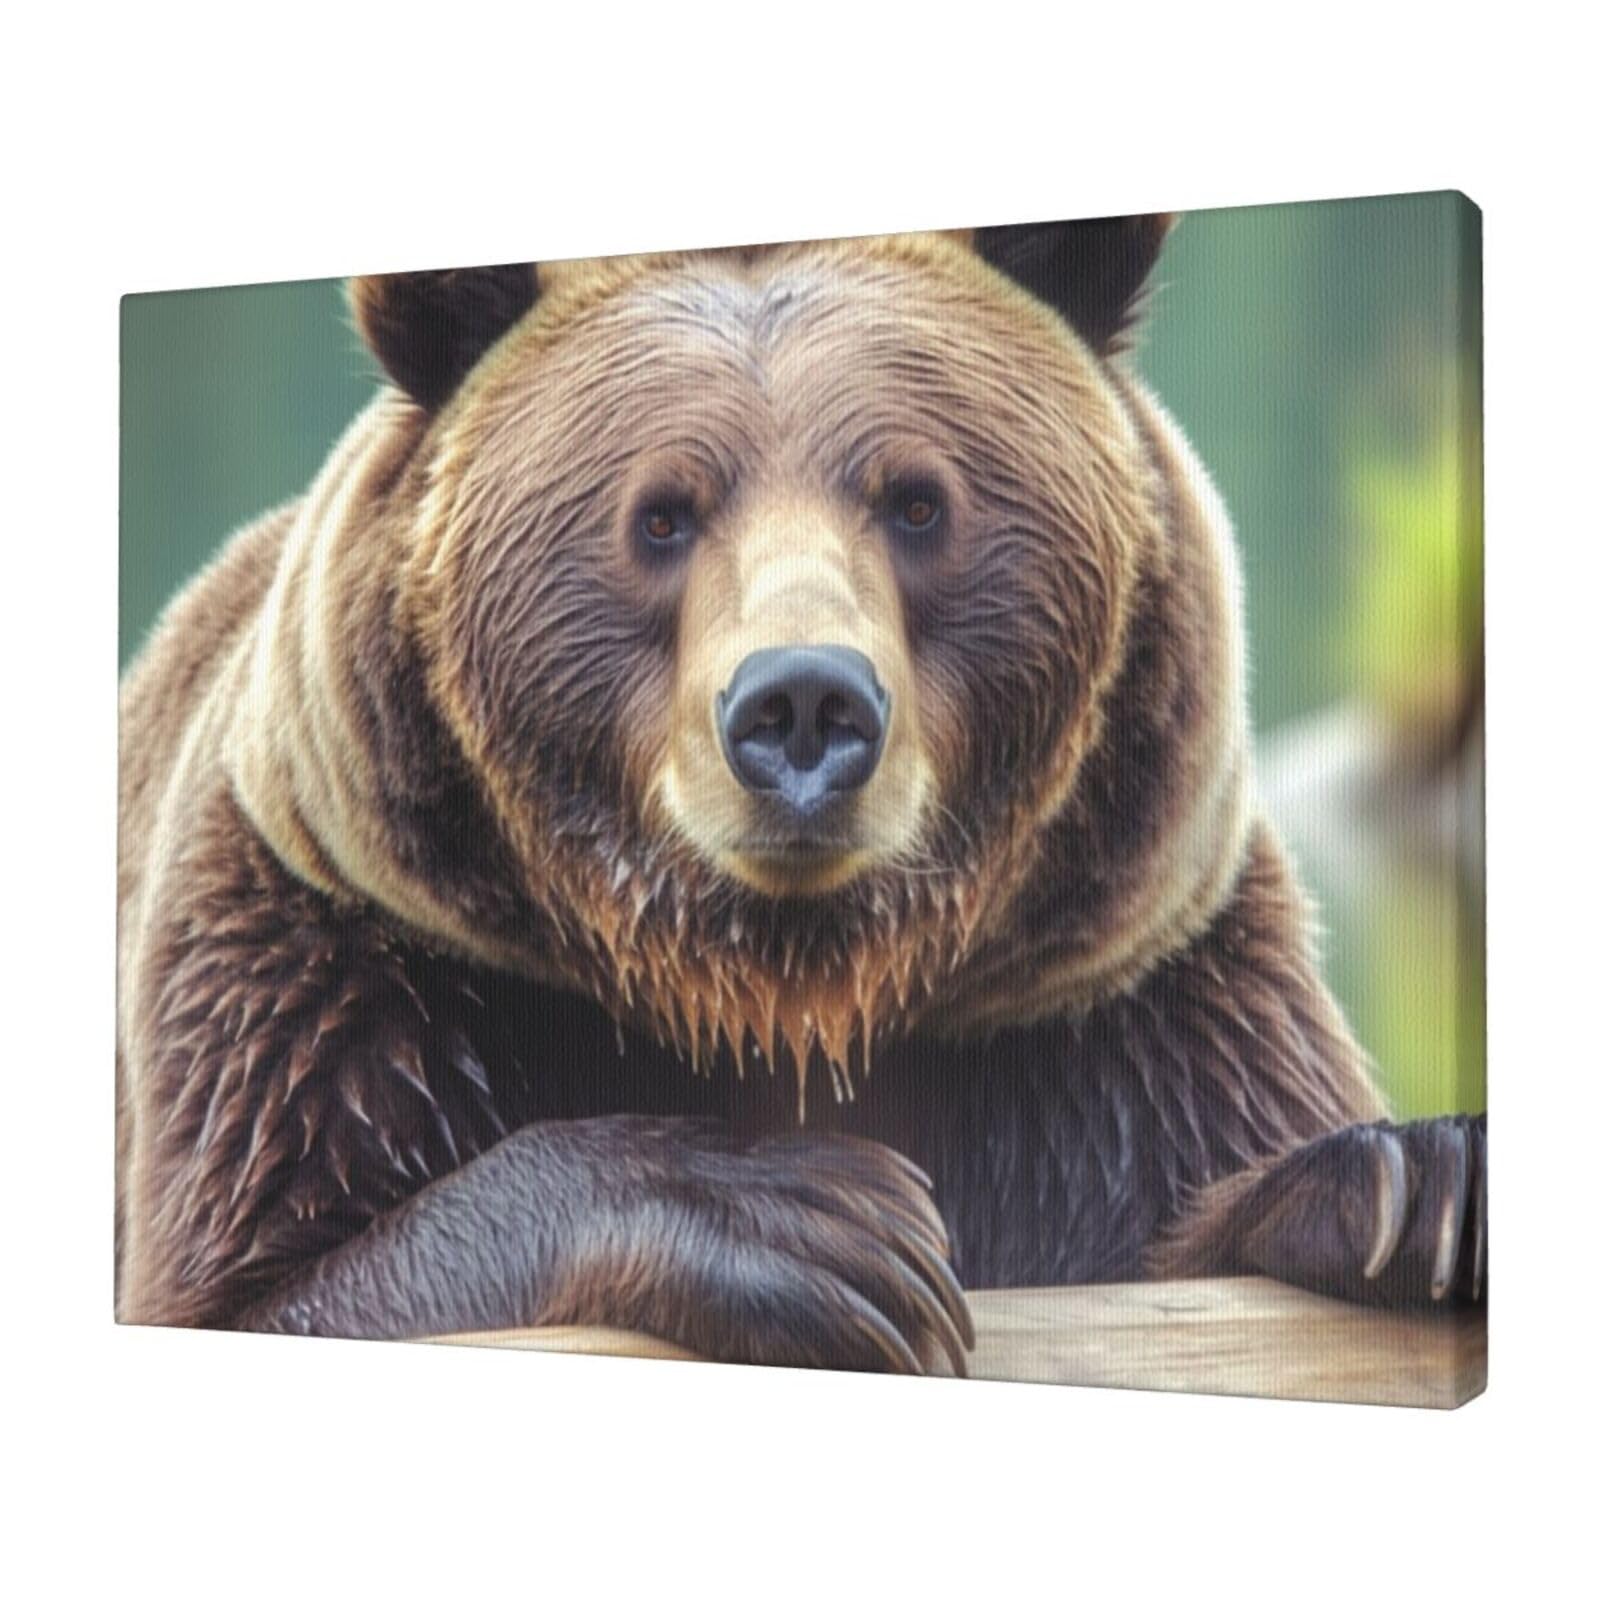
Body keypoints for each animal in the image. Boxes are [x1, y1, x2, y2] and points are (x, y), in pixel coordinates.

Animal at [117, 219, 1485, 1375]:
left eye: (918, 499)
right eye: (660, 515)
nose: (804, 705)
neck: (788, 990)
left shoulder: (1126, 1002)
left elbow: (1215, 1175)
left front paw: (1414, 1183)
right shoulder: (342, 955)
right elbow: (289, 1277)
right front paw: (829, 1223)